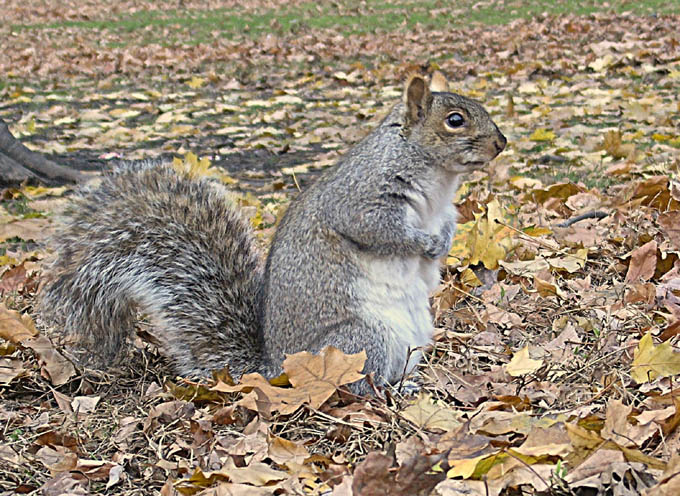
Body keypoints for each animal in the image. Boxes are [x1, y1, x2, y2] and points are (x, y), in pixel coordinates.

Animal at [37, 71, 504, 396]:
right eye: (455, 120)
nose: (500, 143)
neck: (439, 182)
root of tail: (277, 371)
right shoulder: (361, 198)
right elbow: (377, 230)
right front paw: (423, 244)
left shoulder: (444, 210)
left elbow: (448, 227)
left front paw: (441, 244)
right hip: (360, 340)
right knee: (354, 386)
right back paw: (385, 393)